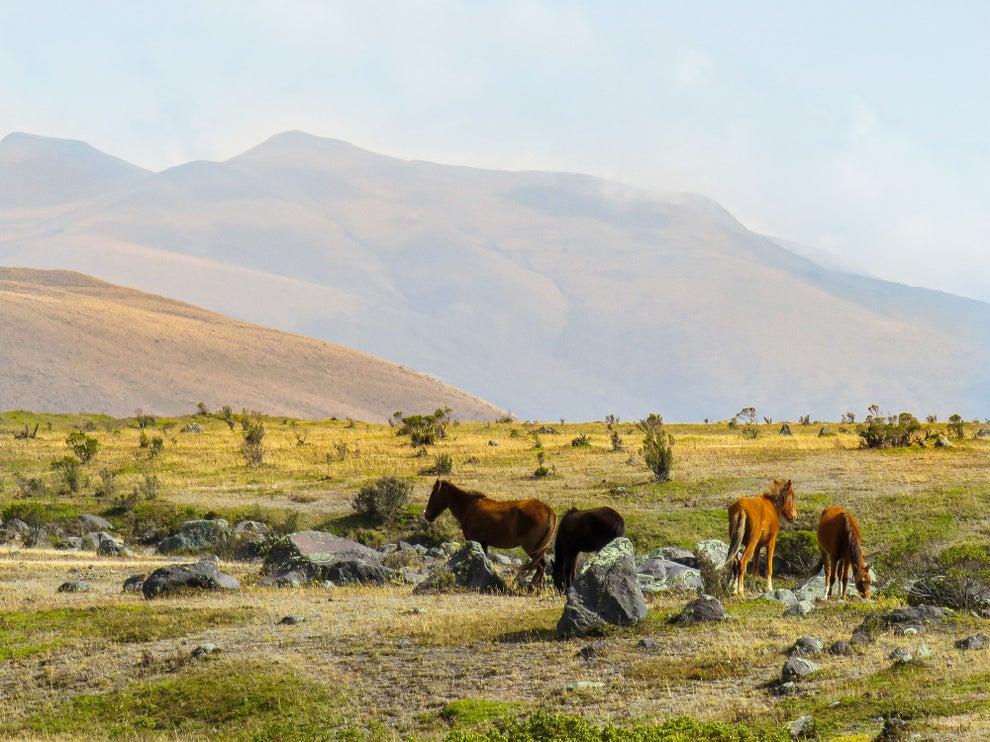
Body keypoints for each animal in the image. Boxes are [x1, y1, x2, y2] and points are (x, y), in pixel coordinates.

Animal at [422, 482, 560, 592]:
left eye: (433, 495)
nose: (427, 515)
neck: (468, 507)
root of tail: (548, 510)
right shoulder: (483, 543)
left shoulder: (475, 540)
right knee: (542, 564)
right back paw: (539, 587)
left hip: (532, 547)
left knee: (541, 564)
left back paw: (532, 586)